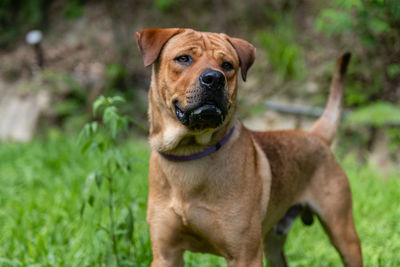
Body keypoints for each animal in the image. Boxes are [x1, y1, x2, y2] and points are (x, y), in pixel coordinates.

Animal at [137, 28, 362, 266]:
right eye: (183, 58)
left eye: (227, 65)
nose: (214, 78)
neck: (190, 153)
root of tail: (316, 135)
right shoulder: (165, 254)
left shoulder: (245, 255)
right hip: (273, 242)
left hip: (343, 234)